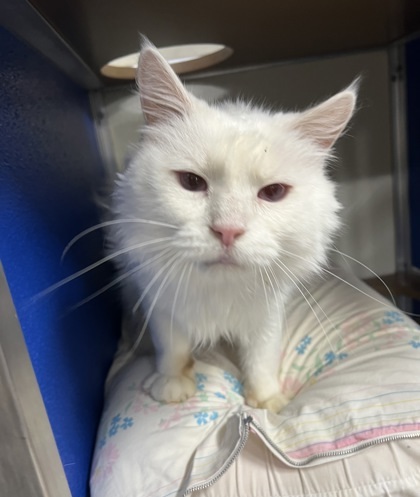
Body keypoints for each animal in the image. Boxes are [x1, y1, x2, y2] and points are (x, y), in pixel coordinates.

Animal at [107, 39, 354, 410]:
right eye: (192, 182)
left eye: (273, 192)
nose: (228, 230)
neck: (219, 291)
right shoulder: (159, 300)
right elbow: (172, 347)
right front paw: (172, 385)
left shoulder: (268, 313)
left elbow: (261, 357)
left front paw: (268, 401)